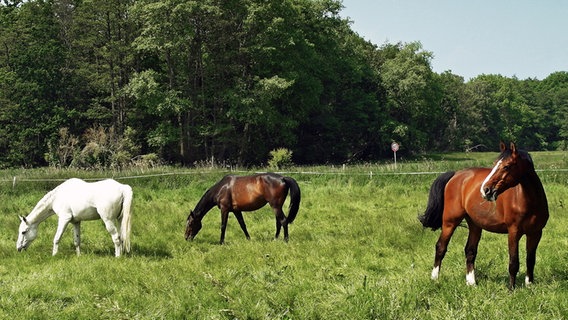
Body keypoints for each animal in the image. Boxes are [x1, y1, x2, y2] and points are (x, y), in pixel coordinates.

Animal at [420, 141, 548, 288]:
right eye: (494, 164)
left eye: (506, 166)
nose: (486, 190)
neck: (529, 202)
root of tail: (456, 174)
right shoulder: (513, 232)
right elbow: (513, 262)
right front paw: (512, 288)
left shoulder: (536, 233)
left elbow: (530, 260)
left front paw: (529, 285)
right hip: (450, 222)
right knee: (441, 247)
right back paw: (434, 278)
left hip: (475, 224)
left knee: (470, 251)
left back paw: (471, 283)